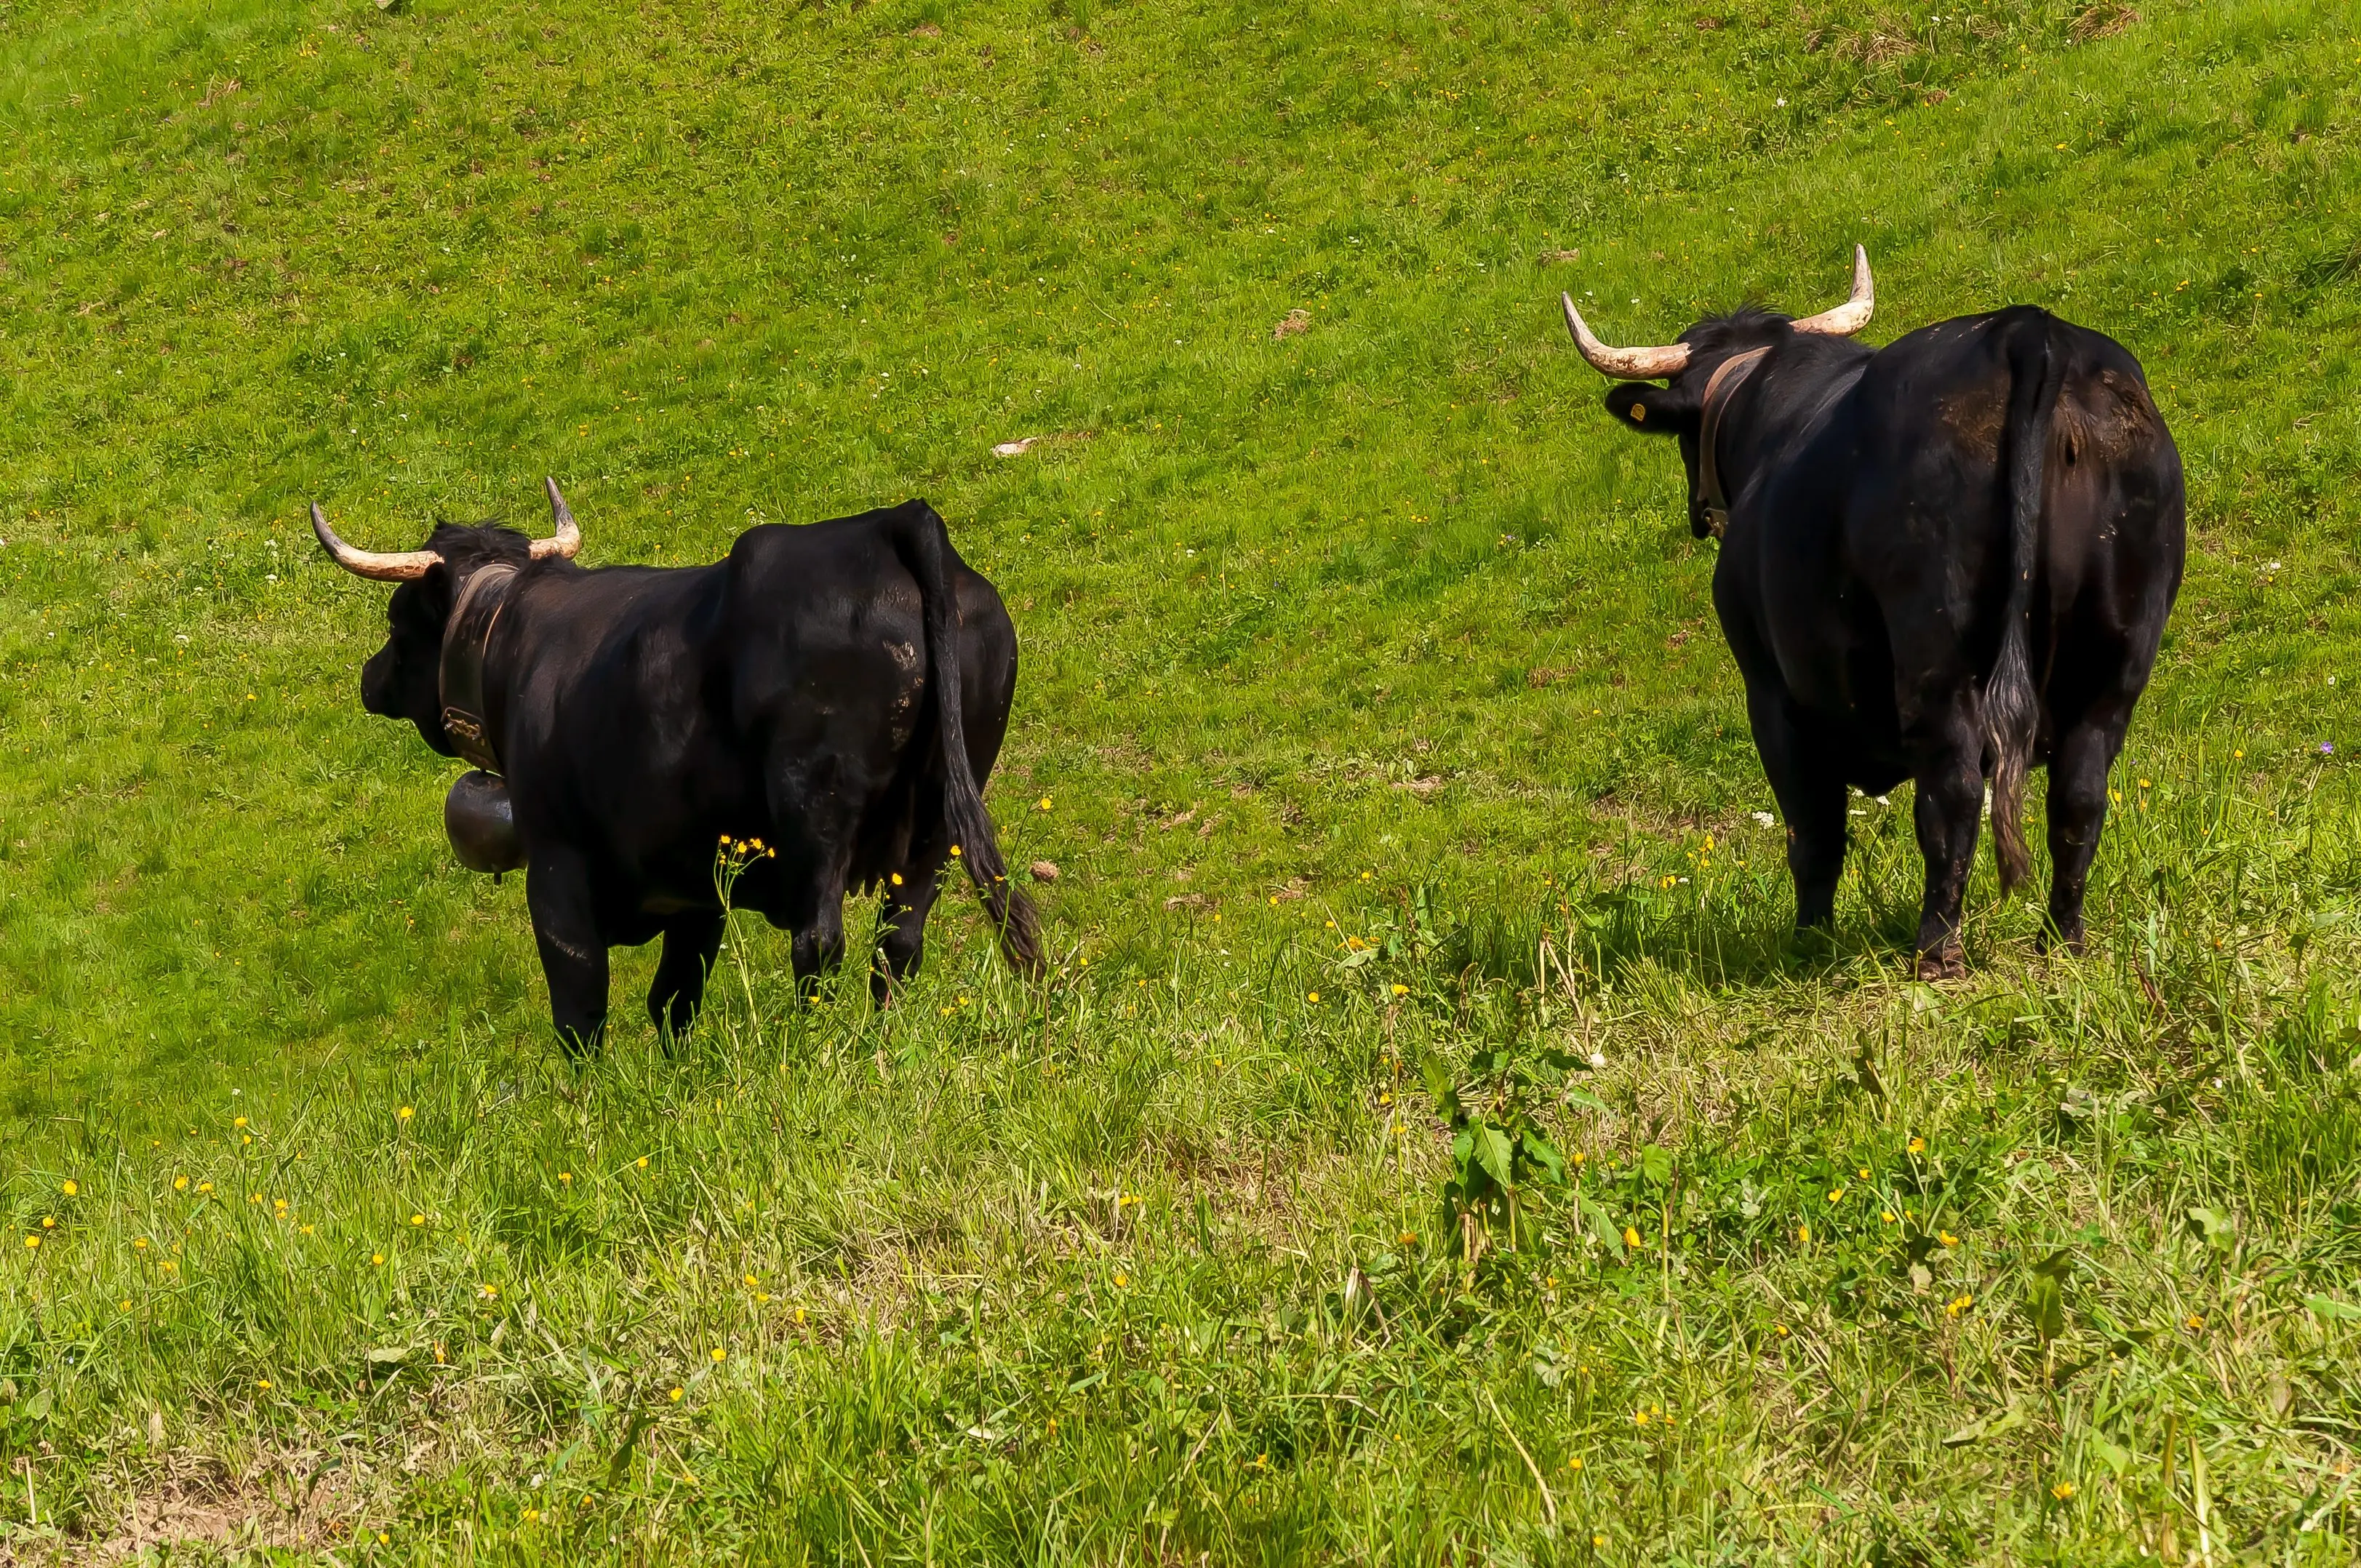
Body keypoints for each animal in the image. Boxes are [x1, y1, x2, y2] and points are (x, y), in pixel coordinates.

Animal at [312, 481, 1042, 1052]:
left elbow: (580, 1007)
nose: (370, 678)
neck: (514, 645)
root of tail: (890, 523)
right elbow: (674, 1001)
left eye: (397, 621)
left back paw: (811, 1051)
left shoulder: (556, 869)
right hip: (939, 822)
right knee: (898, 944)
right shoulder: (697, 891)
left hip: (816, 807)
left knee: (820, 942)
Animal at [1561, 249, 2184, 978]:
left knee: (1952, 792)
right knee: (2079, 798)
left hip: (1936, 652)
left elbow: (1813, 831)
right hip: (2115, 663)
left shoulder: (1772, 695)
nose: (1697, 512)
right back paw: (2062, 941)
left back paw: (1937, 951)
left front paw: (1809, 940)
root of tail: (2030, 331)